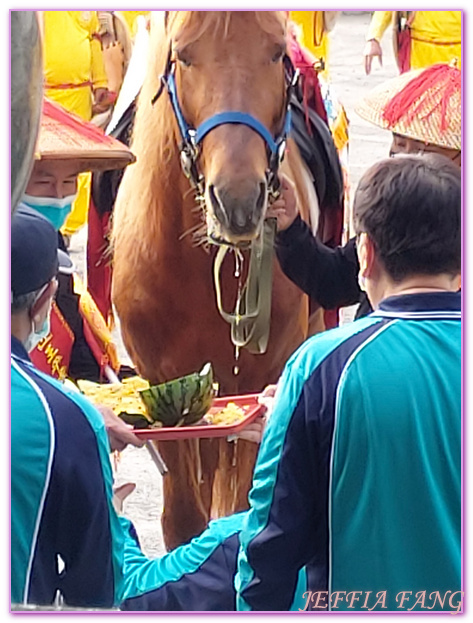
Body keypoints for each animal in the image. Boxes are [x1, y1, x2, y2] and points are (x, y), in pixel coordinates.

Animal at [112, 12, 322, 552]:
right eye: (183, 56)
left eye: (277, 53)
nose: (239, 201)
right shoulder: (163, 383)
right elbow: (185, 517)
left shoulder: (263, 376)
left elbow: (246, 496)